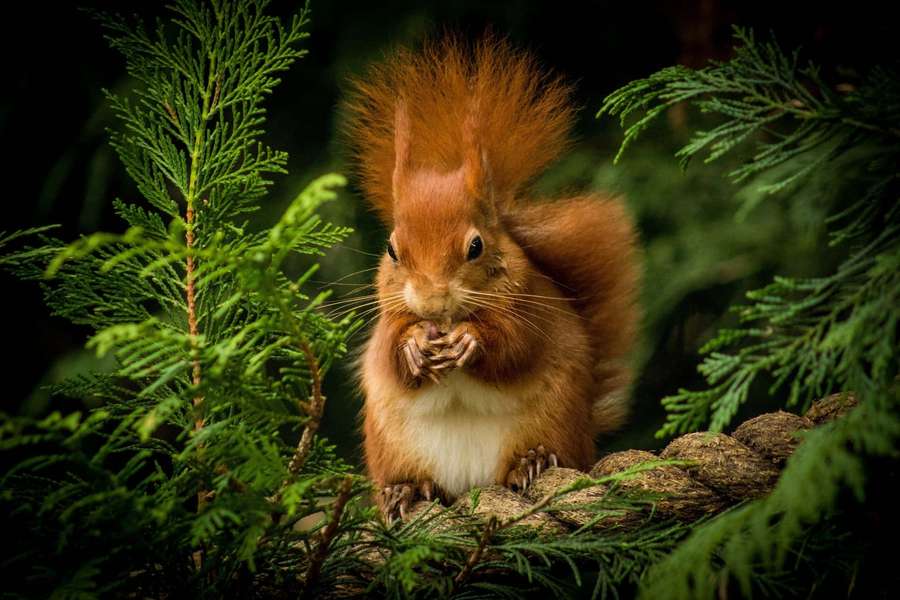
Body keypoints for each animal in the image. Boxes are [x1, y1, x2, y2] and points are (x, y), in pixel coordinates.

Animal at [342, 35, 640, 519]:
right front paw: (414, 346)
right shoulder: (389, 318)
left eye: (476, 246)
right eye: (392, 250)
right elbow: (389, 354)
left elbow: (515, 347)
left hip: (554, 420)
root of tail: (470, 483)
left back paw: (530, 462)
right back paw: (404, 491)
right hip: (390, 445)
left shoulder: (530, 306)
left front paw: (469, 341)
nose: (433, 302)